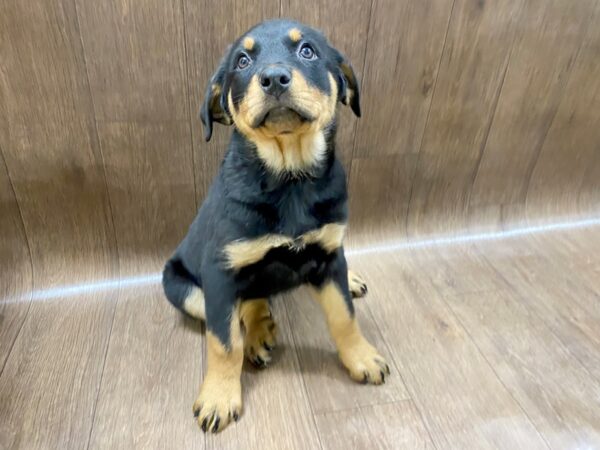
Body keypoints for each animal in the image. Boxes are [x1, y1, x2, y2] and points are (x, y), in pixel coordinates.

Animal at [163, 17, 390, 432]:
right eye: (242, 61)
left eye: (307, 51)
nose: (273, 79)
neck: (289, 176)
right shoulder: (220, 272)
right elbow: (224, 343)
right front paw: (219, 397)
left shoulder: (327, 254)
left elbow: (344, 316)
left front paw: (362, 357)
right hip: (180, 287)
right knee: (238, 307)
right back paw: (258, 333)